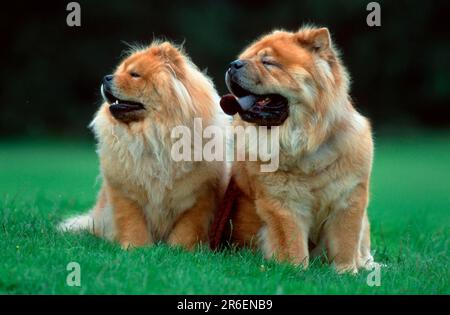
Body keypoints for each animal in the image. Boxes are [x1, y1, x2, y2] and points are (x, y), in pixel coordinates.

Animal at [59, 41, 227, 249]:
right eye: (119, 71)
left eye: (134, 75)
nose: (106, 77)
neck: (153, 137)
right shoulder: (125, 193)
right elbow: (133, 224)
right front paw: (136, 248)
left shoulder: (199, 196)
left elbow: (187, 230)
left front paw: (179, 250)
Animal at [216, 26, 374, 274]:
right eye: (245, 57)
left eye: (268, 62)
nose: (234, 64)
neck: (305, 143)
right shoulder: (284, 204)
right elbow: (292, 243)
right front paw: (295, 271)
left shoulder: (348, 197)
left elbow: (345, 240)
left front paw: (346, 272)